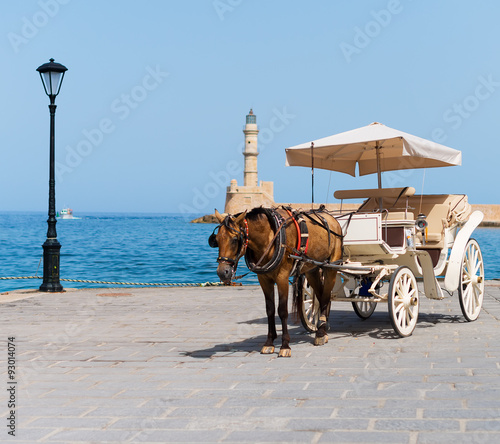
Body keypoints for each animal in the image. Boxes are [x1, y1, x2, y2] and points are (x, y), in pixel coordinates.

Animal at [208, 207, 344, 358]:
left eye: (235, 239)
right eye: (216, 240)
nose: (222, 272)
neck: (270, 238)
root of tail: (332, 218)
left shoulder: (282, 278)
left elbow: (282, 311)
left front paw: (285, 345)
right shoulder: (264, 279)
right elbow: (270, 310)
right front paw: (269, 343)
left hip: (331, 267)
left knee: (326, 296)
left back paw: (320, 333)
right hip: (312, 268)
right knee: (320, 296)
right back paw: (322, 327)